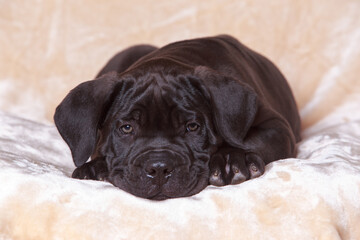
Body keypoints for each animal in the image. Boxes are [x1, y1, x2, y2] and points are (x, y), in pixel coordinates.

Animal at [53, 34, 300, 200]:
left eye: (192, 127)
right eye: (126, 128)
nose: (159, 168)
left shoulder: (276, 127)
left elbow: (251, 140)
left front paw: (231, 159)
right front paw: (94, 168)